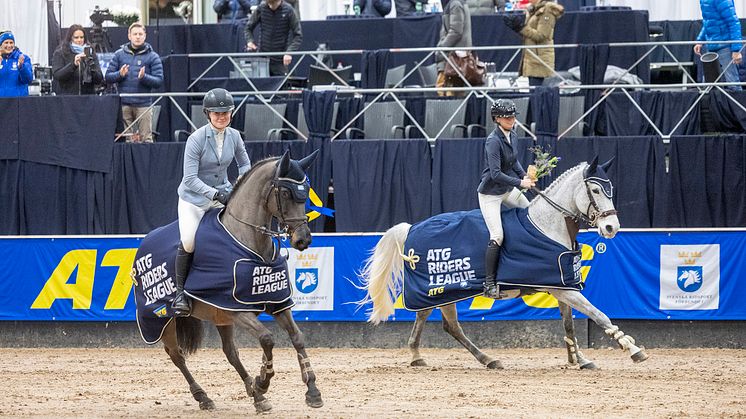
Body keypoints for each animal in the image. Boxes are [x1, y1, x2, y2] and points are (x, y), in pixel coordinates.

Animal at [132, 151, 322, 414]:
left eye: (306, 192)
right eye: (285, 193)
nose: (303, 240)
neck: (251, 243)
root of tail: (145, 242)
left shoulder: (276, 303)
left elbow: (298, 337)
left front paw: (312, 391)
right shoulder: (236, 309)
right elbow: (267, 339)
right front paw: (263, 381)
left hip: (219, 315)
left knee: (230, 353)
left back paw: (255, 396)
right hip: (162, 319)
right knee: (176, 355)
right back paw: (205, 397)